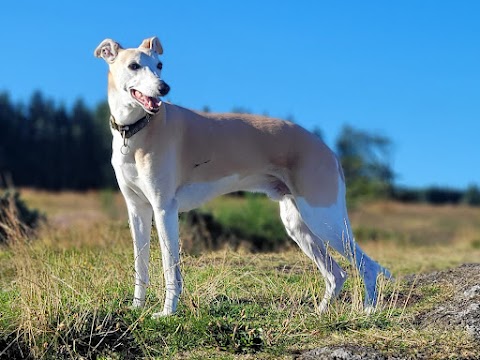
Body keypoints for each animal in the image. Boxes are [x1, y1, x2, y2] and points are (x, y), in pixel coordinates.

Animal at [93, 36, 390, 318]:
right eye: (134, 66)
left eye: (159, 65)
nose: (164, 88)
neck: (137, 130)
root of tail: (329, 151)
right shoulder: (138, 210)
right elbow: (140, 265)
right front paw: (136, 308)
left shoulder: (164, 207)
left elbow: (170, 267)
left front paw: (167, 312)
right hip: (300, 225)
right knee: (337, 273)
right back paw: (321, 312)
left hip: (324, 219)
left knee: (368, 265)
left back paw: (369, 311)